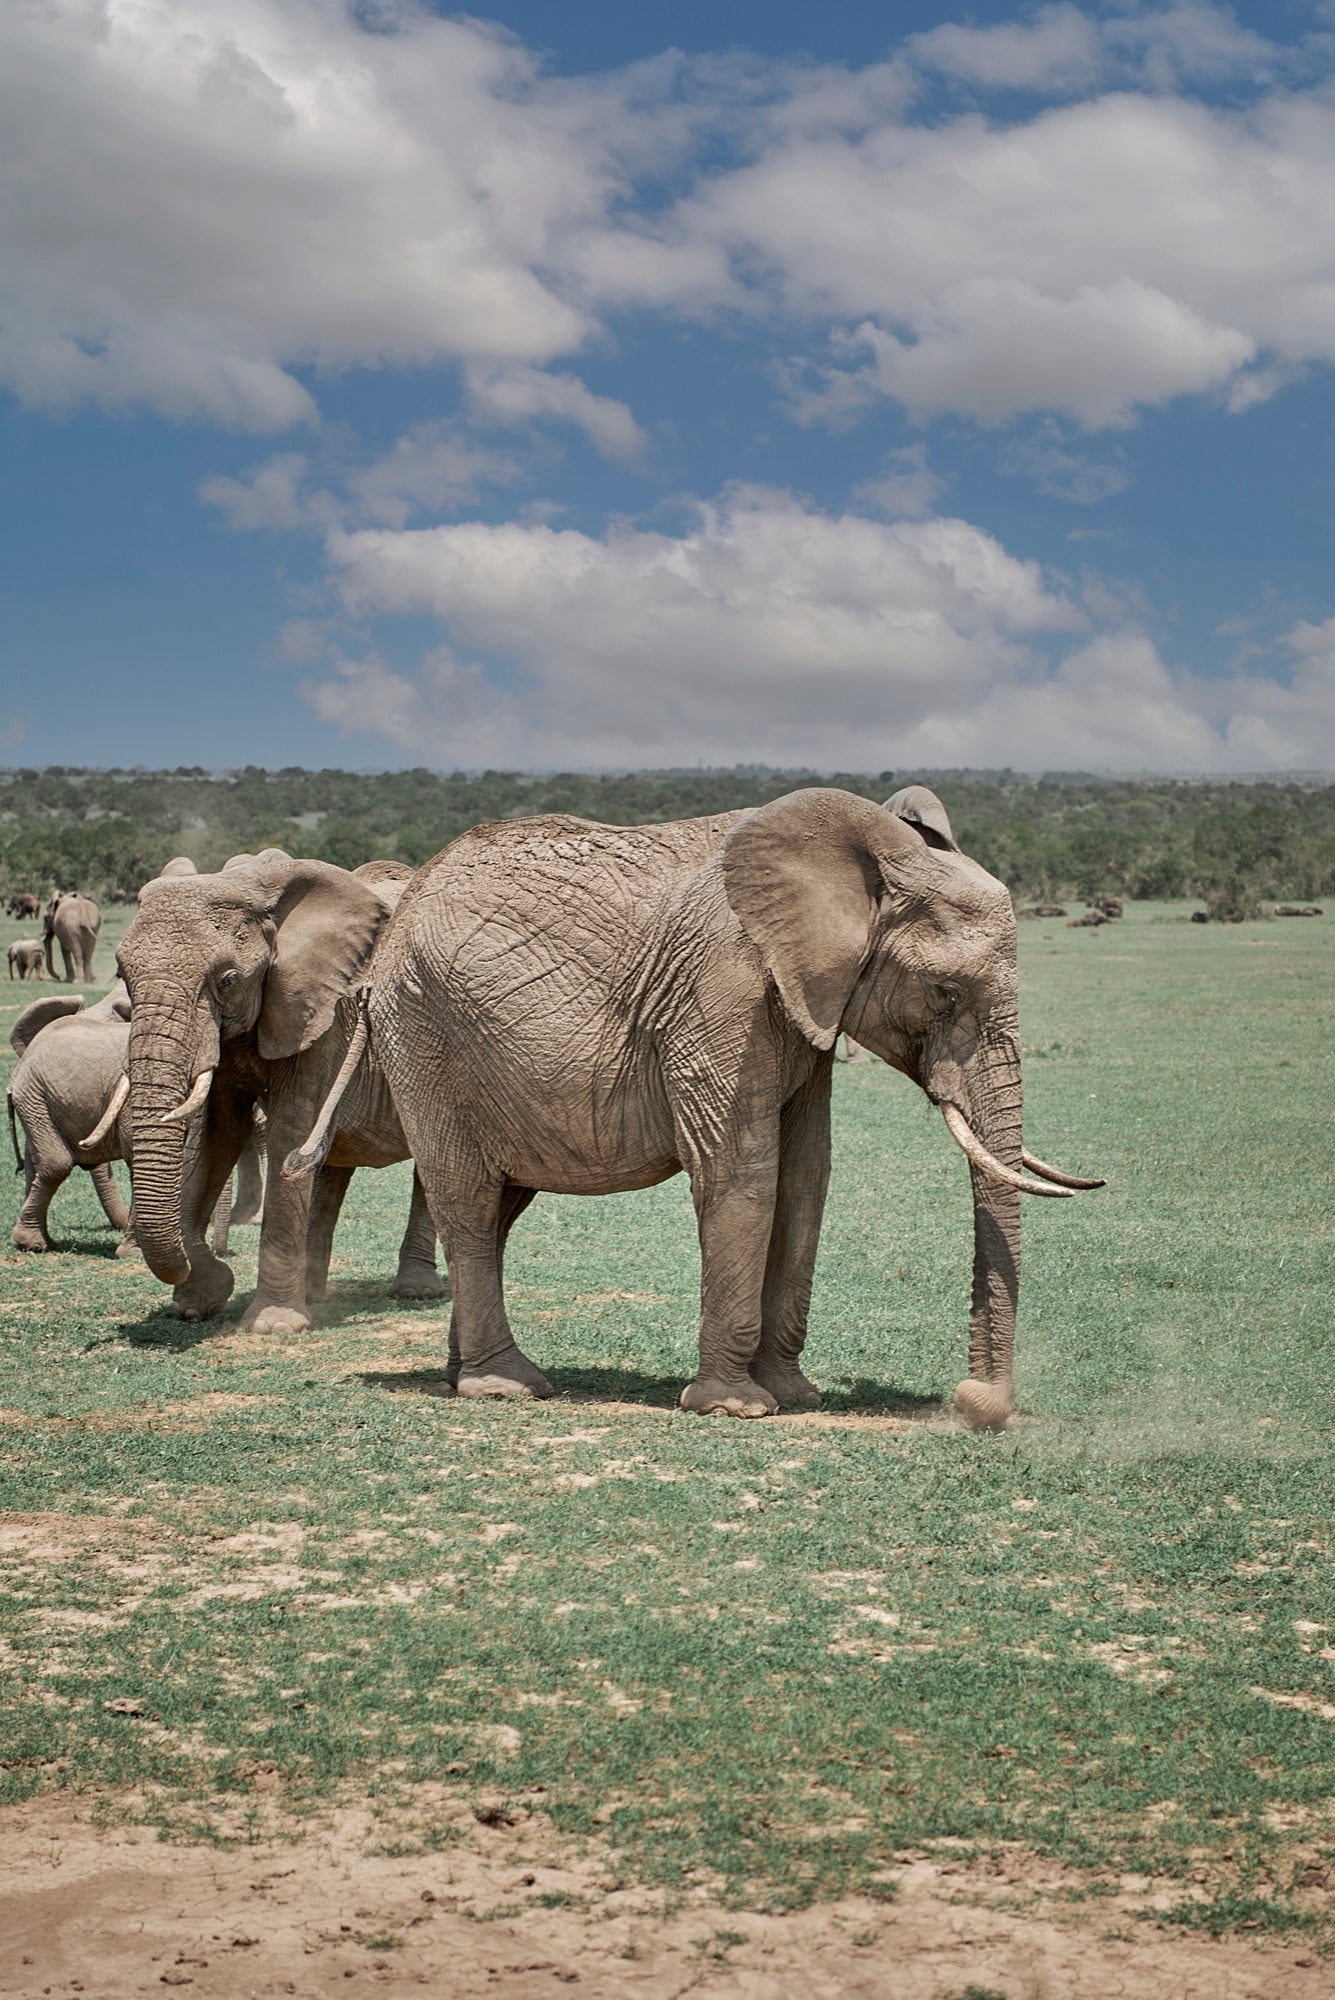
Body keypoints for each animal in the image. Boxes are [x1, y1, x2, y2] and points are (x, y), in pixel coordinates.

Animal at [113, 844, 443, 1328]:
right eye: (123, 975)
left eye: (228, 980)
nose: (215, 1263)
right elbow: (219, 1137)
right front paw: (199, 1301)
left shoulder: (321, 1014)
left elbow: (289, 1127)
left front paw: (273, 1325)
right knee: (328, 1162)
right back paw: (315, 1294)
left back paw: (415, 1291)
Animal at [323, 780, 1095, 1424]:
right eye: (945, 993)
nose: (975, 1405)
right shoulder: (724, 986)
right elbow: (741, 1168)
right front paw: (735, 1408)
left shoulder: (804, 1004)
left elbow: (806, 1174)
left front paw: (794, 1396)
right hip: (424, 1035)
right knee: (468, 1197)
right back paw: (506, 1386)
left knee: (498, 1208)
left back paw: (465, 1377)